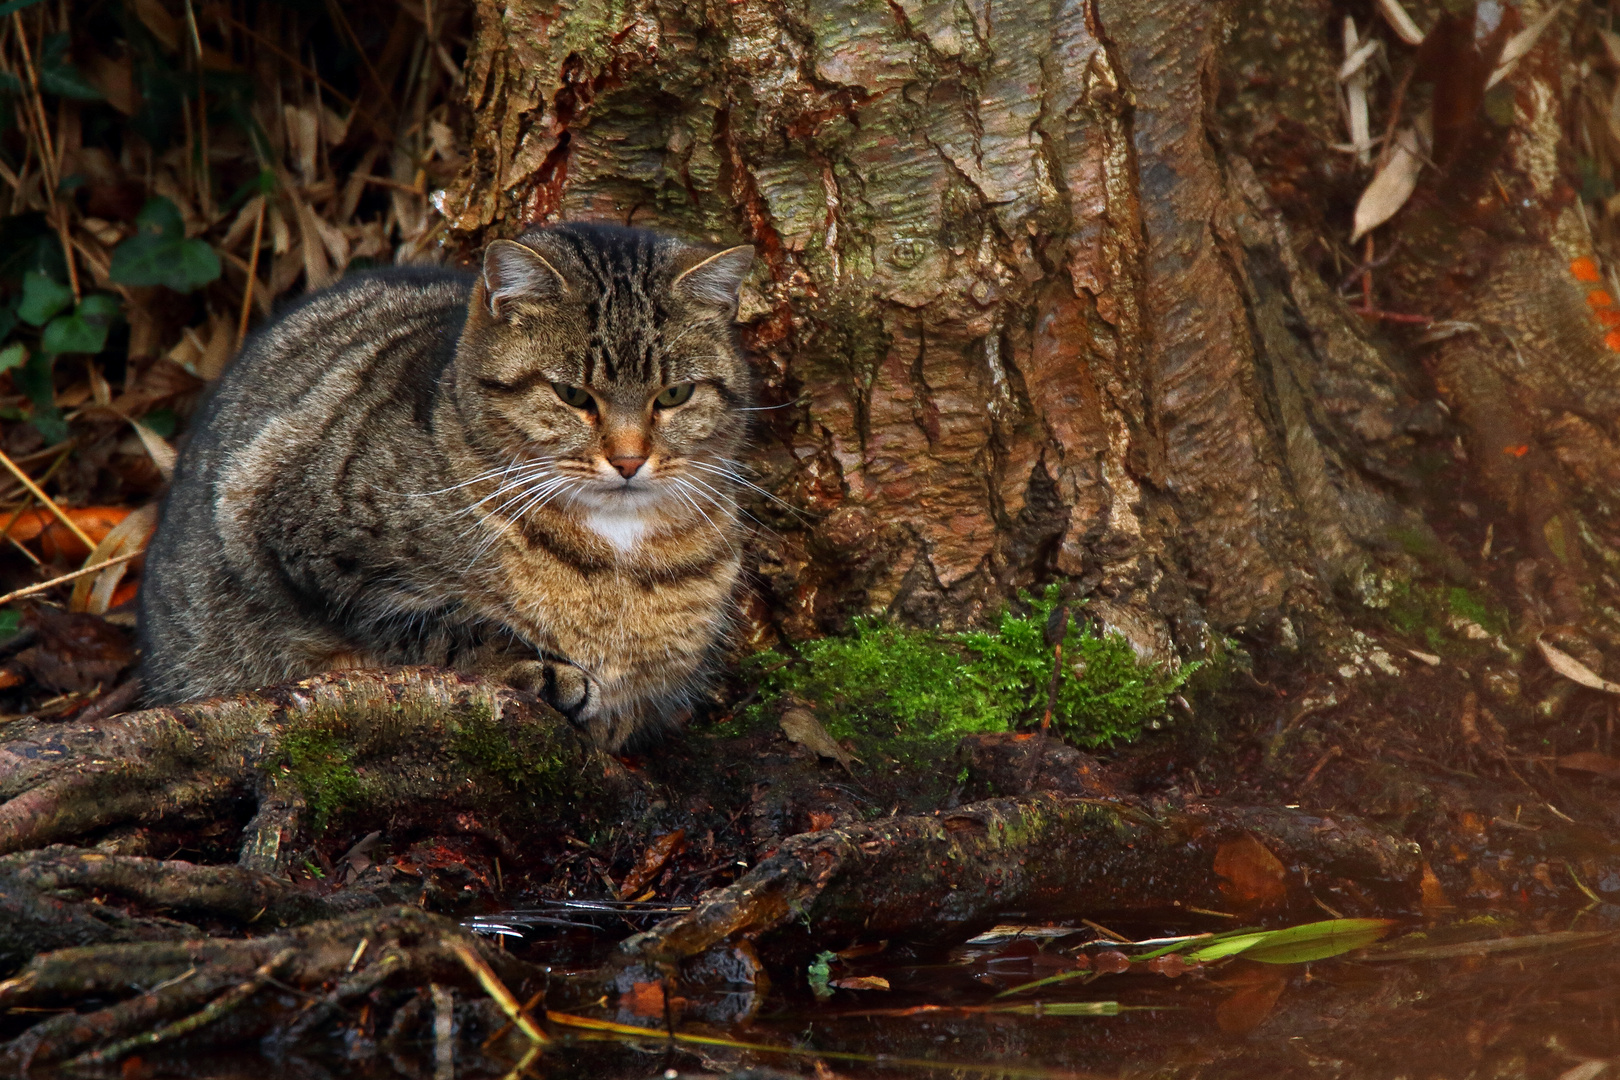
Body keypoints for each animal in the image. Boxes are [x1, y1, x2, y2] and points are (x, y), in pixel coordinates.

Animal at [136, 226, 754, 751]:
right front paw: (535, 670)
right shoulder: (289, 530)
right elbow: (443, 627)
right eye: (573, 395)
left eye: (673, 395)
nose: (629, 460)